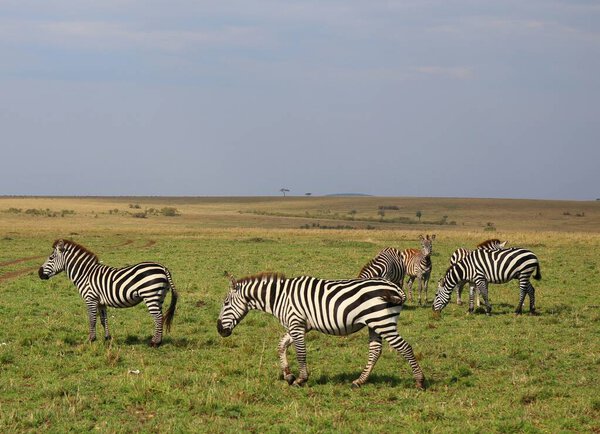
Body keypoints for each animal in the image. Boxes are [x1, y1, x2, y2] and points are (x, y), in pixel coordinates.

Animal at [37, 239, 177, 348]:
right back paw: (158, 340)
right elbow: (103, 320)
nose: (39, 273)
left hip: (150, 296)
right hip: (159, 297)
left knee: (158, 318)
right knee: (160, 317)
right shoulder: (101, 302)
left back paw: (155, 343)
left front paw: (91, 339)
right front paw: (107, 338)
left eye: (51, 258)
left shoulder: (90, 299)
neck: (85, 274)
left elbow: (92, 319)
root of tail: (163, 268)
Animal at [218, 272, 424, 388]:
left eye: (226, 303)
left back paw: (420, 381)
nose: (219, 330)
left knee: (405, 347)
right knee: (375, 351)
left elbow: (300, 353)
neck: (280, 297)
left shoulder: (296, 324)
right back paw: (359, 381)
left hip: (382, 321)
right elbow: (281, 346)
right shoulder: (299, 325)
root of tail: (395, 287)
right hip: (374, 323)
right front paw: (288, 375)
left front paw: (301, 379)